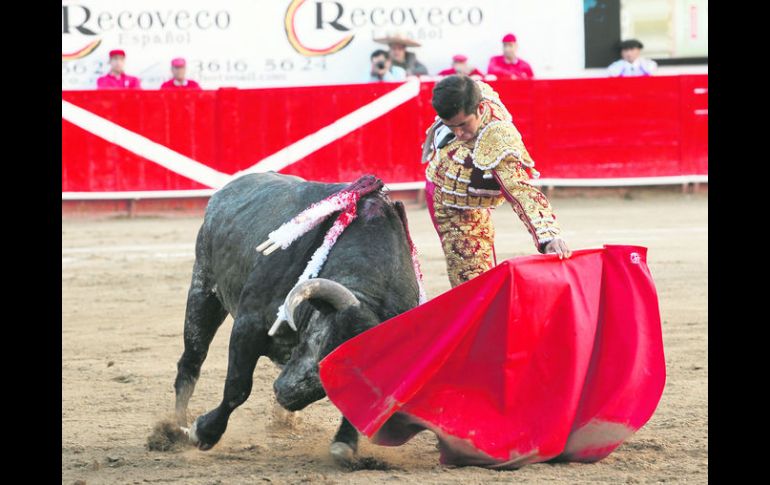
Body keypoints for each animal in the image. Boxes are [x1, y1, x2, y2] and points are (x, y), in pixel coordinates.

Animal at [173, 172, 421, 464]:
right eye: (323, 344)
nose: (285, 394)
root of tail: (228, 188)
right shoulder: (249, 325)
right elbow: (238, 387)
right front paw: (205, 432)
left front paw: (344, 443)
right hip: (204, 287)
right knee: (191, 360)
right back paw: (175, 428)